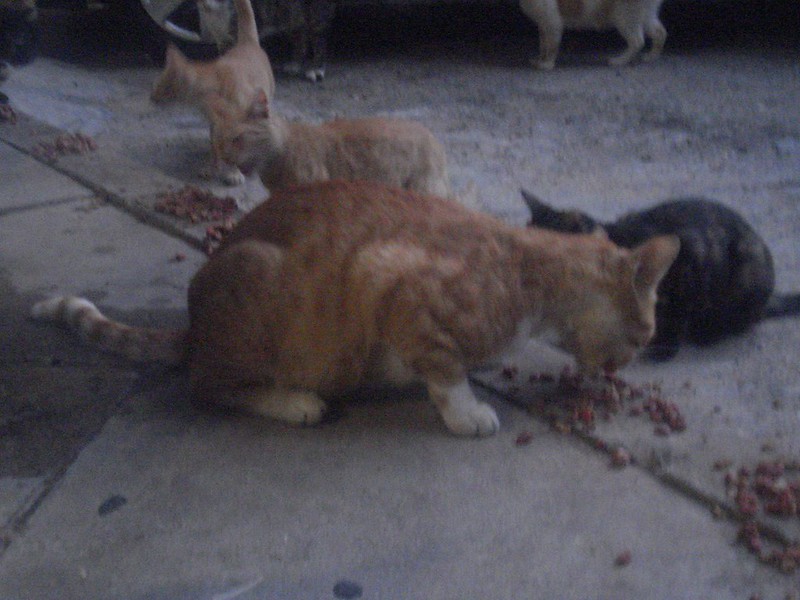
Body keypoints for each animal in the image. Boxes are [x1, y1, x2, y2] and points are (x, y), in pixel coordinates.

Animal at [32, 178, 680, 436]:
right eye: (642, 335)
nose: (623, 368)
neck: (529, 272)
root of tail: (194, 328)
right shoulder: (391, 283)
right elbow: (446, 374)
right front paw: (466, 412)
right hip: (257, 291)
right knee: (209, 385)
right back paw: (291, 401)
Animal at [150, 0, 276, 188]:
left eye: (161, 85)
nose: (151, 96)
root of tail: (247, 43)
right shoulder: (215, 124)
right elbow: (215, 146)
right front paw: (212, 167)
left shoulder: (237, 123)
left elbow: (235, 147)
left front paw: (233, 171)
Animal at [516, 0, 664, 69]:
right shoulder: (543, 24)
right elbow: (543, 45)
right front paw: (540, 59)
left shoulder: (553, 23)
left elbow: (551, 46)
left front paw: (547, 64)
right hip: (645, 15)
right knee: (660, 33)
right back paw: (651, 56)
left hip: (625, 17)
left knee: (637, 41)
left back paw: (620, 60)